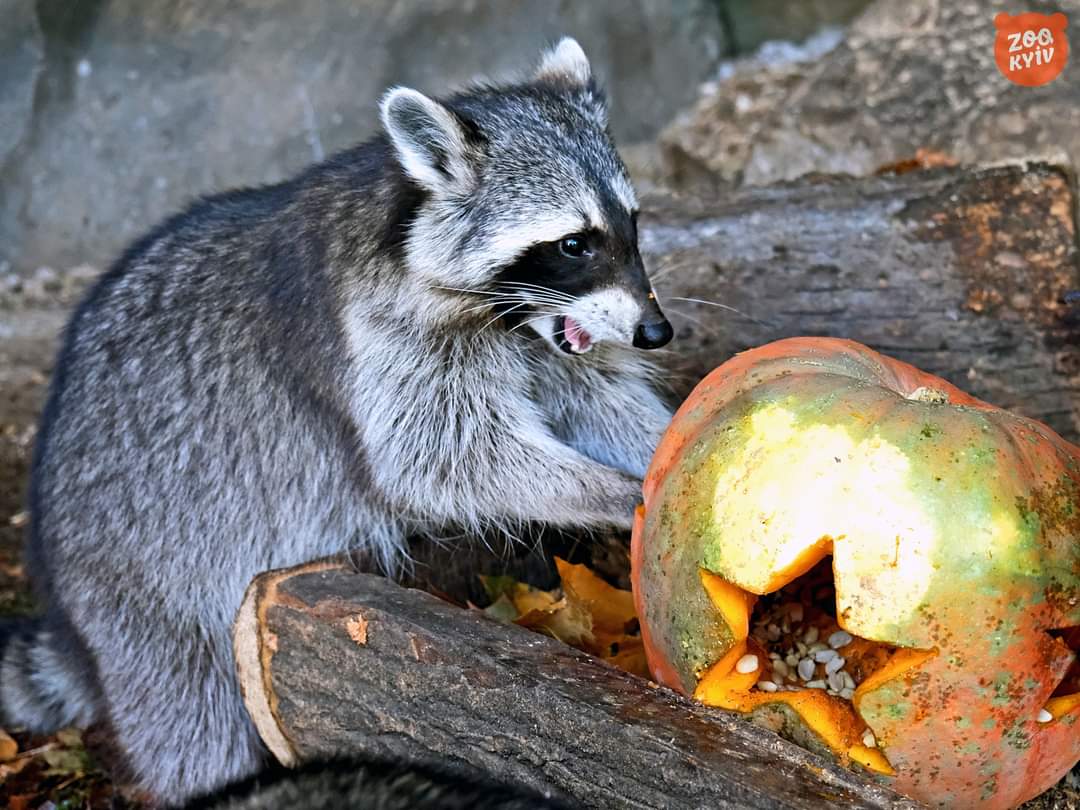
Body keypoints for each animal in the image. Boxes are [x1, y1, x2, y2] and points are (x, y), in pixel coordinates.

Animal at [0, 39, 669, 807]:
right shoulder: (378, 338)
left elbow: (596, 400)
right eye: (574, 244)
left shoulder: (544, 337)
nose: (656, 331)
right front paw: (612, 491)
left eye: (631, 224)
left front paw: (665, 446)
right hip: (141, 588)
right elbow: (441, 458)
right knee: (192, 719)